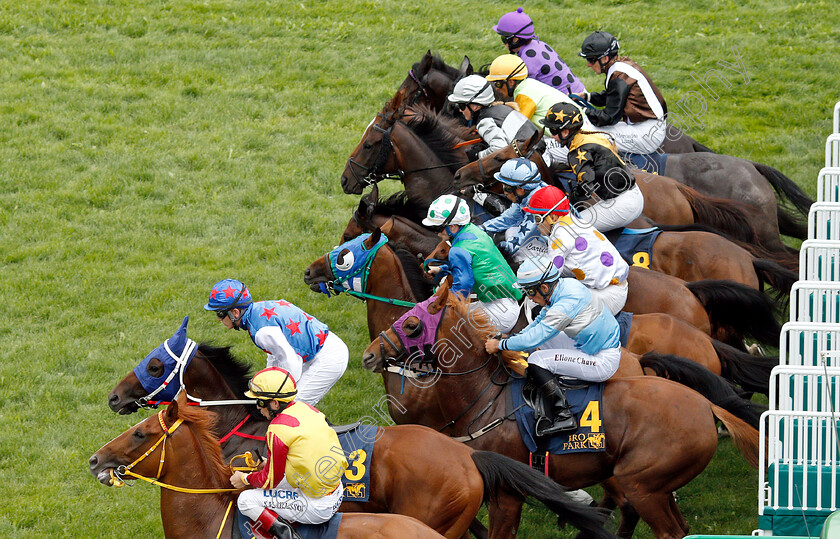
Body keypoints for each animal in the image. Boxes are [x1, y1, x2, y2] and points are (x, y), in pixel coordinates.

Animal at [358, 284, 764, 536]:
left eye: (412, 324)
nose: (369, 355)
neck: (487, 398)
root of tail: (706, 404)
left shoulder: (506, 492)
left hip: (642, 483)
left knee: (661, 526)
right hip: (650, 484)